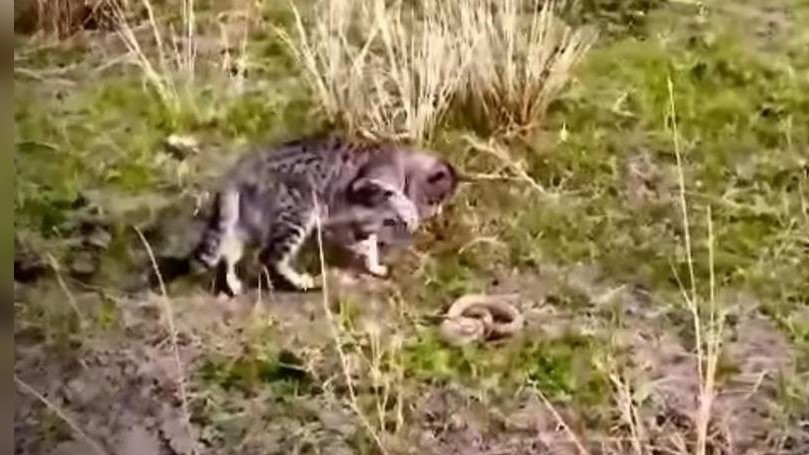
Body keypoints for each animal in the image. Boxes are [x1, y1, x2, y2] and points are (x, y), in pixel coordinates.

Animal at [192, 135, 459, 295]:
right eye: (435, 199)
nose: (435, 213)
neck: (403, 164)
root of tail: (241, 167)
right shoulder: (362, 187)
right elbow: (390, 196)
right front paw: (407, 211)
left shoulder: (349, 219)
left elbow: (367, 243)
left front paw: (372, 263)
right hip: (299, 210)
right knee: (270, 256)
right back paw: (299, 281)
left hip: (247, 219)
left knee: (229, 250)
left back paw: (232, 282)